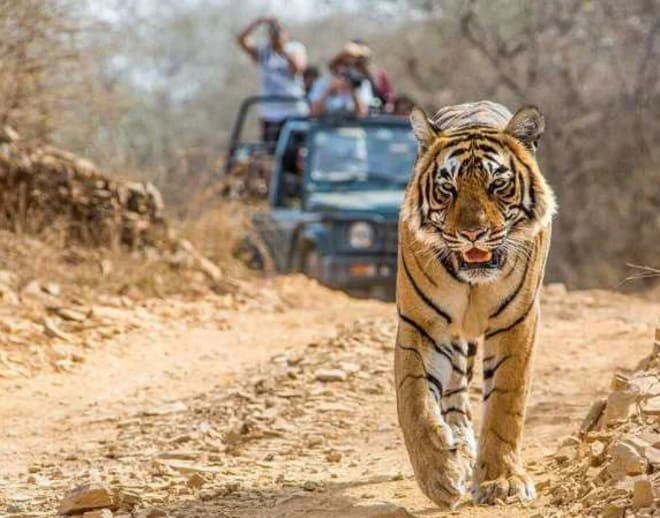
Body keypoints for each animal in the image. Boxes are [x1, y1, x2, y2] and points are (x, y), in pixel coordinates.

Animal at [394, 100, 560, 508]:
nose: (472, 233)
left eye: (497, 185)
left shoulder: (517, 322)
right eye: (447, 188)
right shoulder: (421, 324)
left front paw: (502, 481)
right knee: (453, 393)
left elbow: (505, 404)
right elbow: (414, 401)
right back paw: (459, 448)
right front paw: (439, 475)